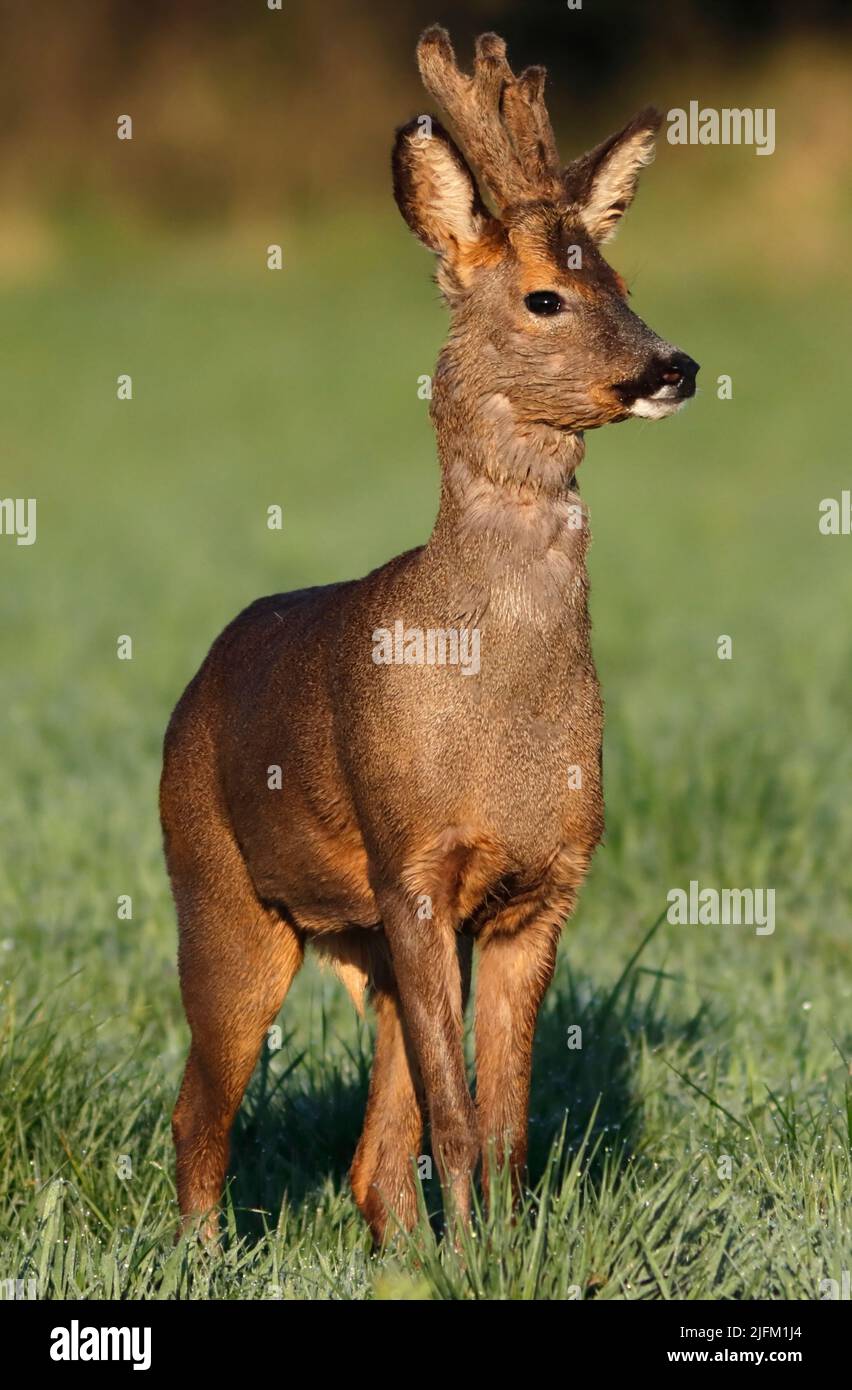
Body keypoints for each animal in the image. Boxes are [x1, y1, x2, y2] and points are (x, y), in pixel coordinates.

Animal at [160, 25, 698, 1245]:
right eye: (547, 296)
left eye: (626, 282)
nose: (674, 366)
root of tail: (196, 680)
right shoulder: (410, 860)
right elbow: (457, 1115)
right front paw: (478, 1247)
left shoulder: (540, 884)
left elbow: (503, 1119)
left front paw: (498, 1244)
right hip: (218, 888)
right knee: (197, 1113)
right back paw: (203, 1256)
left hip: (365, 940)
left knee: (368, 1159)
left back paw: (401, 1243)